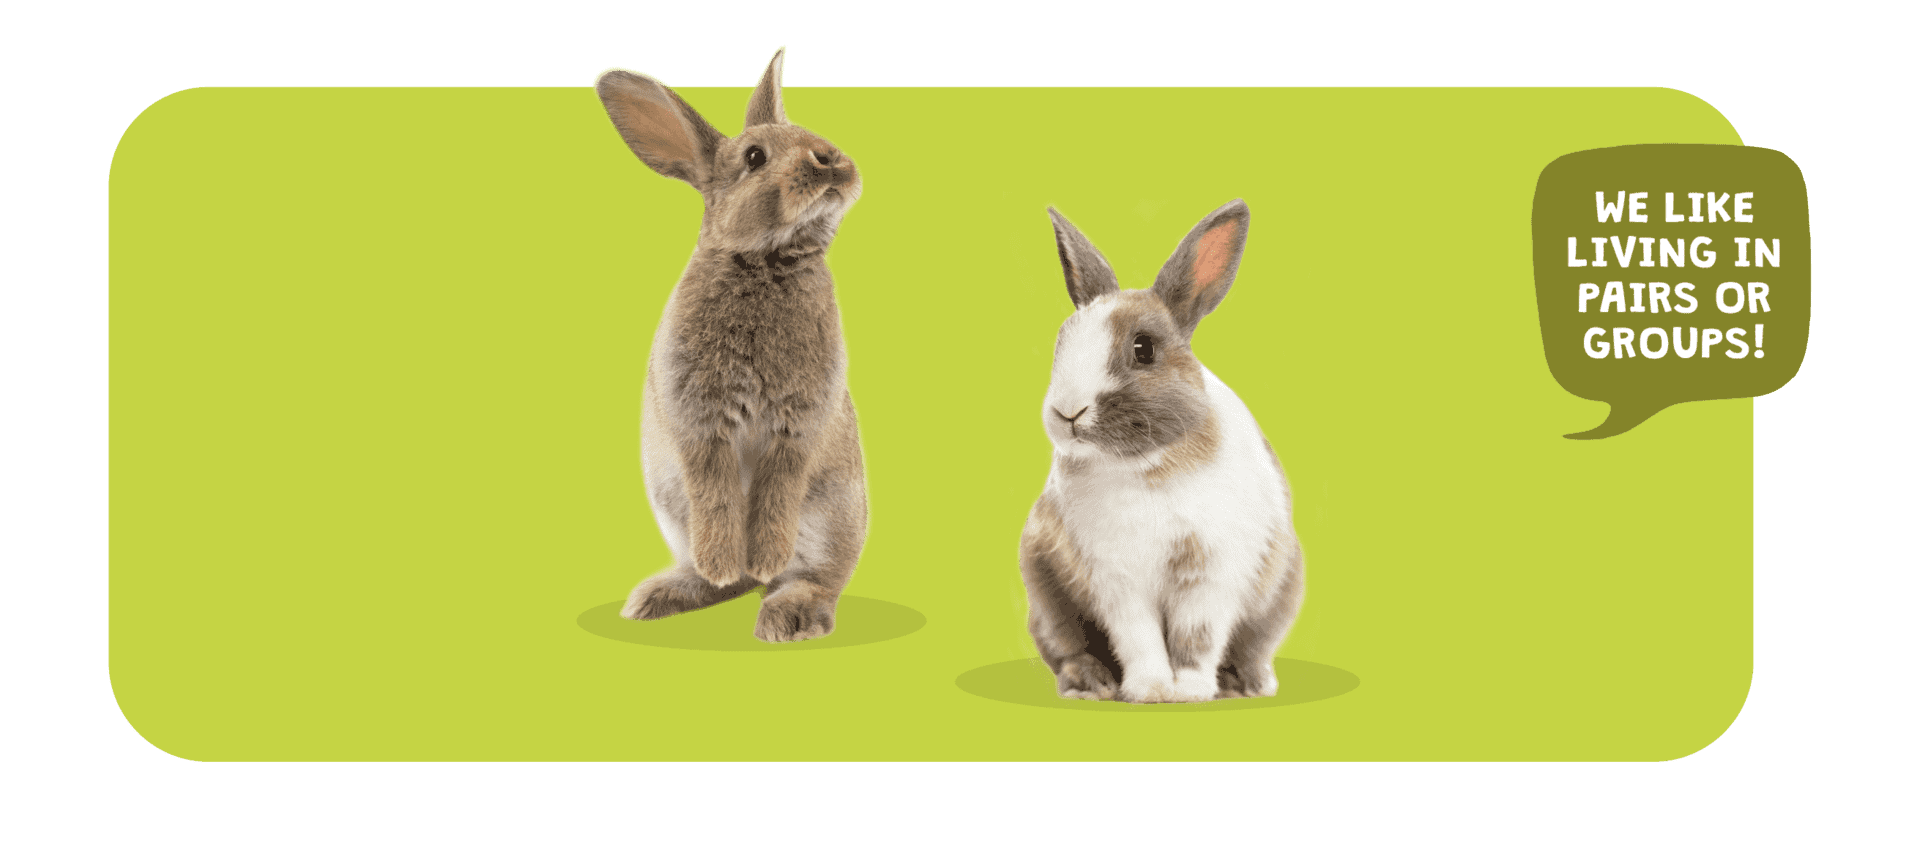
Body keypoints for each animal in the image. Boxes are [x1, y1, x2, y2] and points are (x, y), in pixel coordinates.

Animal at [596, 51, 868, 642]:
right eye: (754, 157)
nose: (831, 160)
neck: (766, 260)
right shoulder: (700, 420)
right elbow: (717, 493)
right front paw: (725, 562)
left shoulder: (799, 421)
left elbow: (777, 489)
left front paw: (764, 558)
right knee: (730, 578)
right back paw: (674, 592)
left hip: (834, 513)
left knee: (817, 577)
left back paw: (785, 611)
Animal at [1020, 200, 1305, 702]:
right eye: (1061, 343)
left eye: (1143, 349)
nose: (1067, 411)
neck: (1147, 466)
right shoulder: (1117, 578)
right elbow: (1140, 637)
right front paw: (1151, 689)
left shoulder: (1210, 573)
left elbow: (1197, 636)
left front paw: (1188, 690)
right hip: (1044, 591)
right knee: (1068, 647)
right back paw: (1091, 684)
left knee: (1254, 646)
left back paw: (1246, 684)